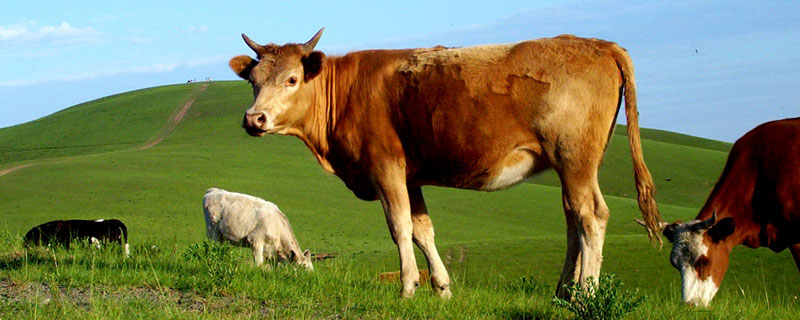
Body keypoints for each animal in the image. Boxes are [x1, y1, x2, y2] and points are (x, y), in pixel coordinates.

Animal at [231, 28, 664, 298]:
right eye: (253, 81)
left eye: (291, 79)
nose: (254, 119)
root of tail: (600, 44)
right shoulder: (410, 176)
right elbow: (424, 230)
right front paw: (441, 287)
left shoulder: (385, 166)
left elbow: (400, 228)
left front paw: (408, 287)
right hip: (570, 166)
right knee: (574, 220)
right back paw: (563, 293)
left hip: (575, 158)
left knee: (591, 218)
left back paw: (585, 294)